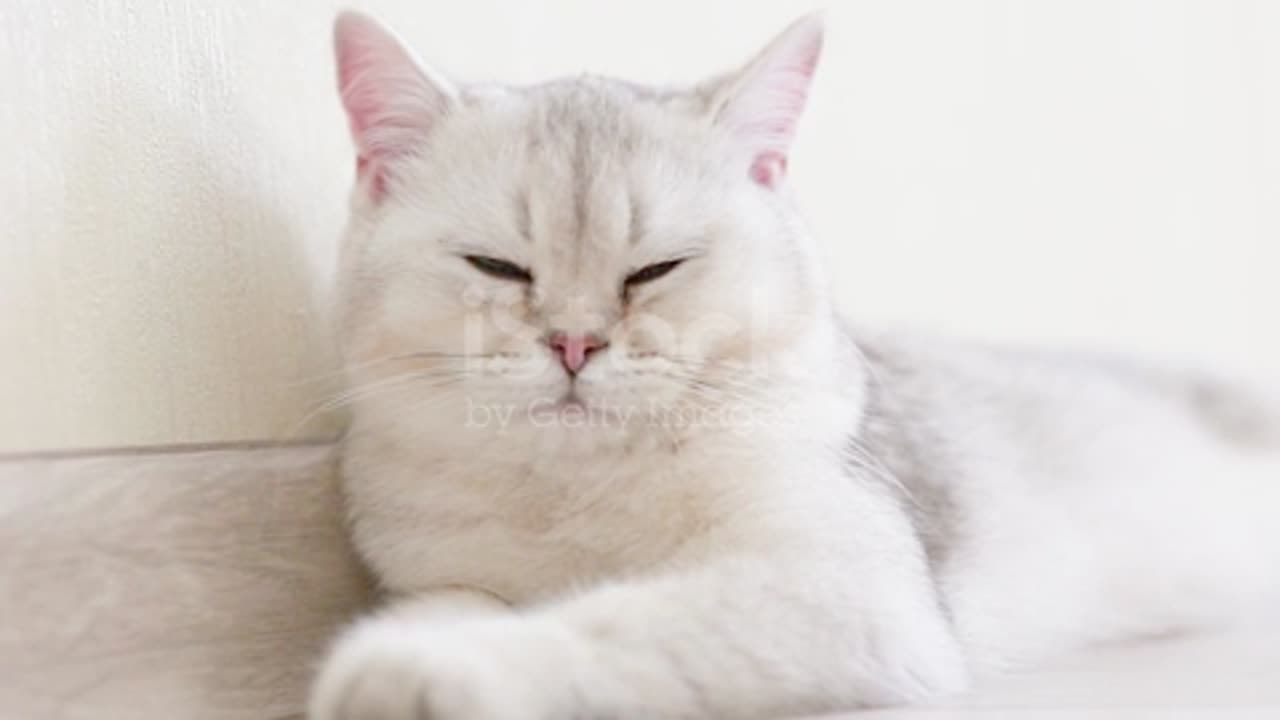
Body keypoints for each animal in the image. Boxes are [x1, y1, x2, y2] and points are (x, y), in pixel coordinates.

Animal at [309, 11, 1280, 717]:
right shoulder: (438, 575)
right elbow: (442, 609)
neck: (579, 494)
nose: (575, 343)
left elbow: (618, 620)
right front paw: (392, 654)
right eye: (497, 267)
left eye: (656, 269)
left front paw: (423, 677)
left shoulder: (841, 590)